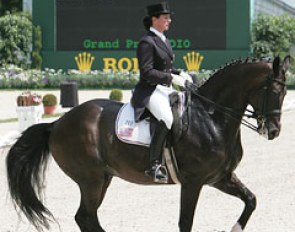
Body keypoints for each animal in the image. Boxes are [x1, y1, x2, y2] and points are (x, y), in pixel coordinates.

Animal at [6, 55, 292, 231]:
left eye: (284, 92)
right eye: (273, 91)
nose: (273, 131)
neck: (212, 117)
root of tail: (56, 124)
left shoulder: (219, 177)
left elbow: (251, 200)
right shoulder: (193, 181)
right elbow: (185, 222)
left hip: (102, 178)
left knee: (85, 217)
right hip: (91, 179)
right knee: (86, 217)